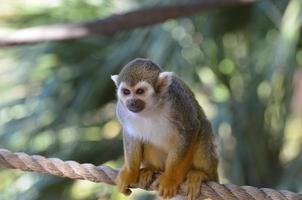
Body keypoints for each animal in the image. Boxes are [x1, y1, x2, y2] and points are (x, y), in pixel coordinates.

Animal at [110, 58, 217, 199]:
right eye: (126, 92)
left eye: (140, 91)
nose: (131, 102)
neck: (151, 108)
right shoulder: (122, 110)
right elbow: (131, 134)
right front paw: (130, 172)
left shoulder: (178, 101)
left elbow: (190, 128)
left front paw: (170, 179)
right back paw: (152, 168)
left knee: (204, 126)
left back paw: (202, 174)